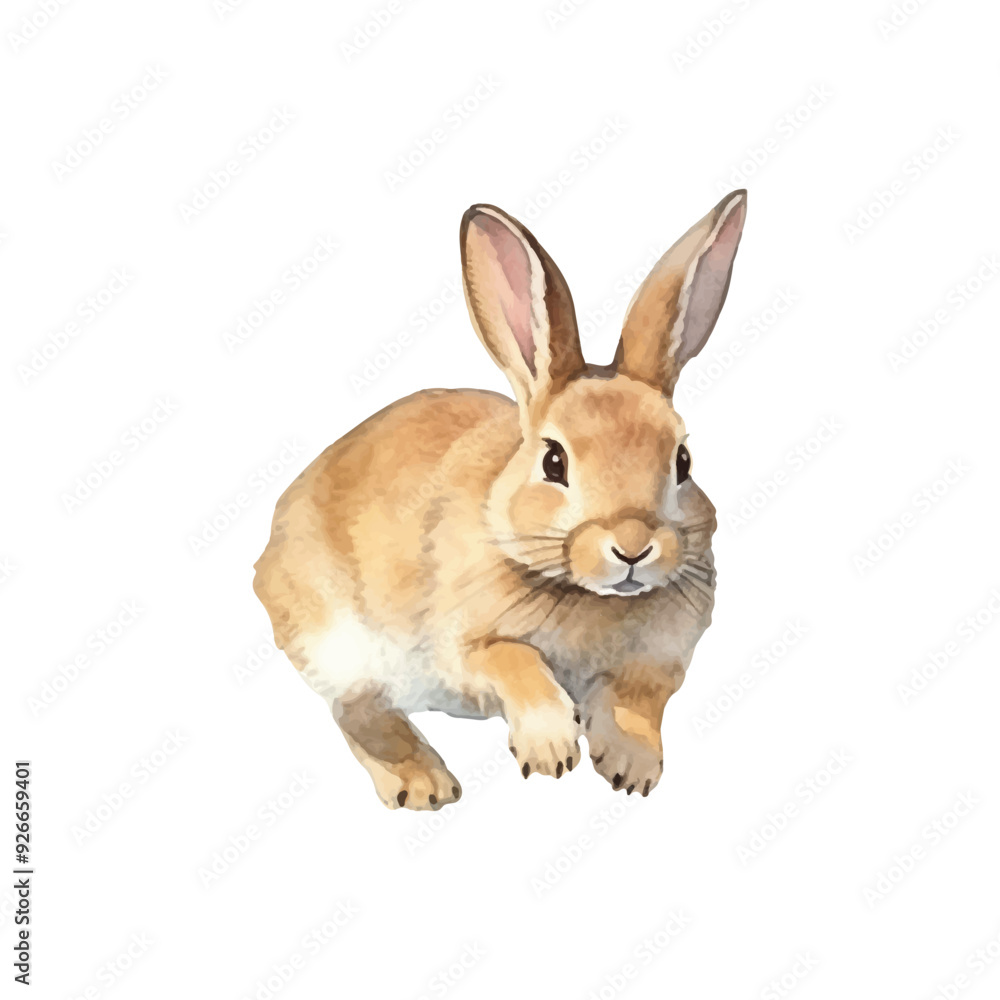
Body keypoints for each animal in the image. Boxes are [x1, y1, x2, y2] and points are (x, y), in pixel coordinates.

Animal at [253, 190, 747, 810]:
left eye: (683, 461)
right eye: (554, 462)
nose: (633, 546)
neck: (589, 596)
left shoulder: (659, 663)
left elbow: (638, 703)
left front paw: (631, 768)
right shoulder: (463, 647)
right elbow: (514, 658)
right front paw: (551, 747)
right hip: (339, 643)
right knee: (359, 711)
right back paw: (425, 784)